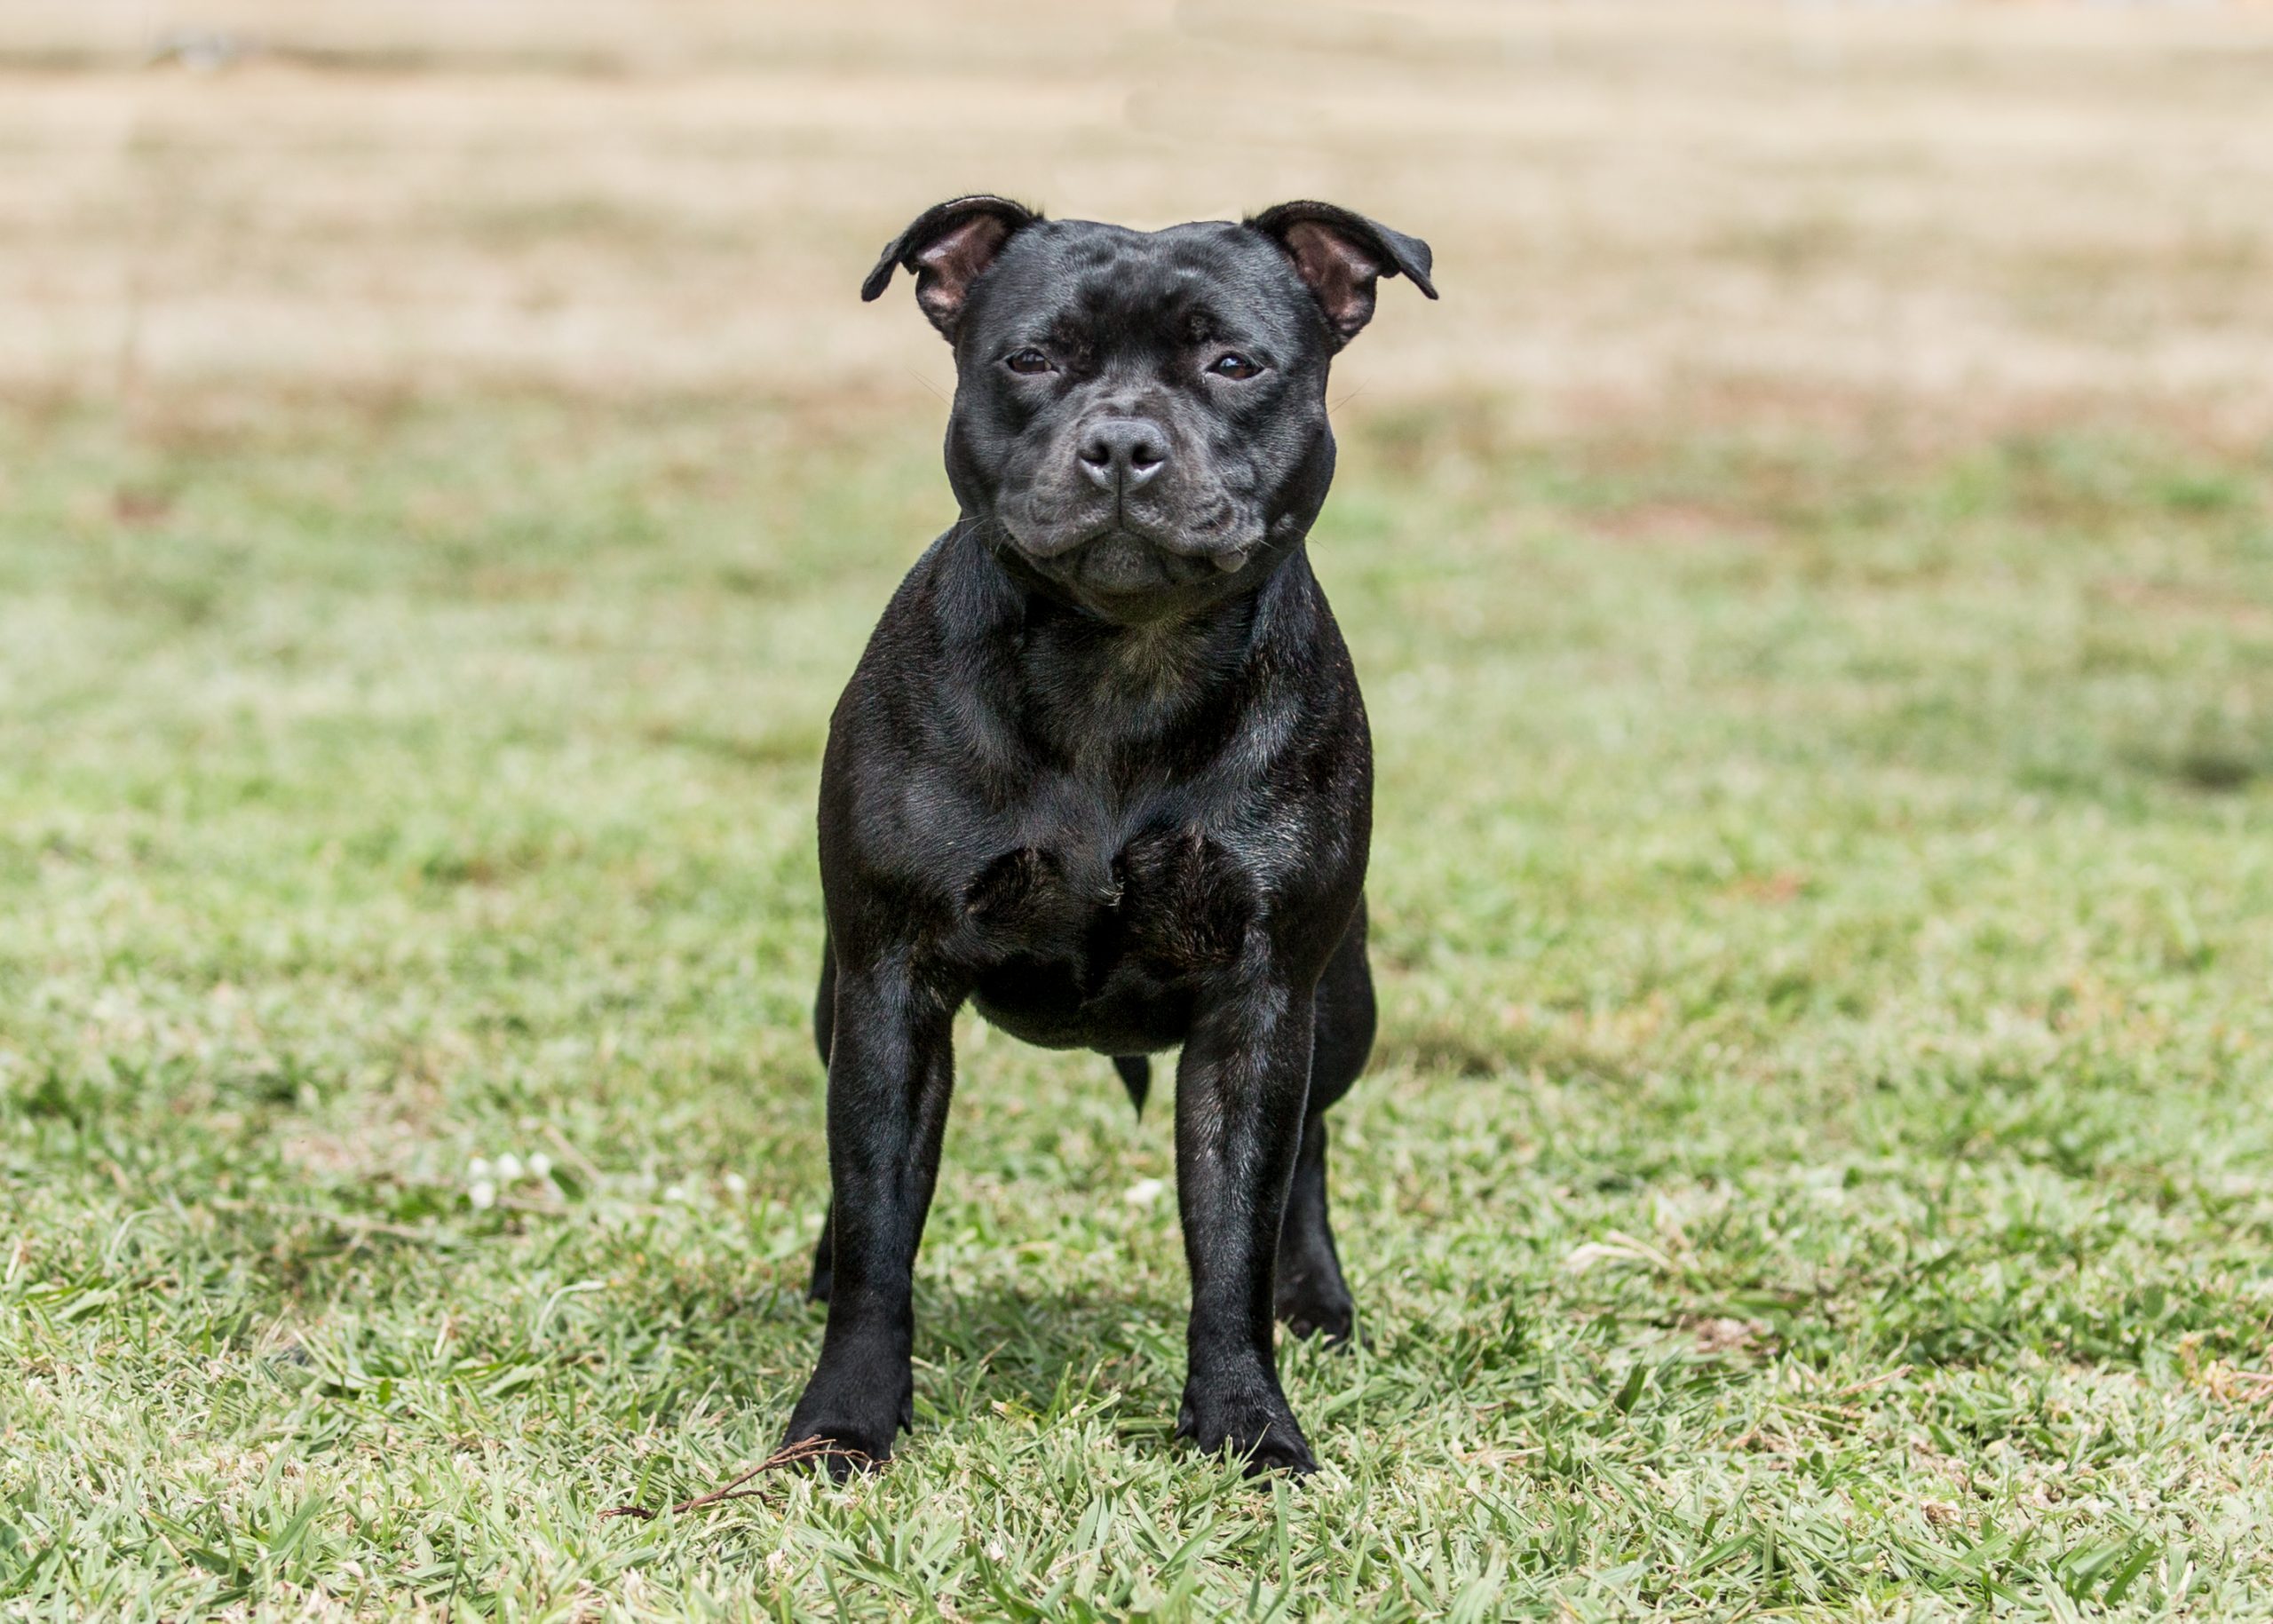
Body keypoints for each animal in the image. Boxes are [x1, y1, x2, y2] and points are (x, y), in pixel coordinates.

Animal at [781, 195, 1418, 1473]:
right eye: (1030, 359)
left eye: (1234, 365)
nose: (1122, 443)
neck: (1123, 664)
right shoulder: (889, 991)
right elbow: (879, 1225)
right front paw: (843, 1419)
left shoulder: (1258, 1008)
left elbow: (1231, 1237)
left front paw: (1250, 1427)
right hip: (835, 1000)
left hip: (1340, 1009)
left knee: (1311, 1147)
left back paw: (1314, 1298)